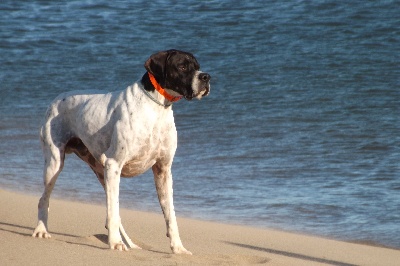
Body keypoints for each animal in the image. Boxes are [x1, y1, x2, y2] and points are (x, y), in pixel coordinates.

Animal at [32, 48, 209, 255]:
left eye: (197, 66)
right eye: (182, 67)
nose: (206, 77)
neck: (156, 108)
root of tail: (56, 99)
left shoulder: (163, 171)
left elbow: (170, 216)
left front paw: (178, 248)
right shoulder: (114, 163)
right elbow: (113, 212)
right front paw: (114, 243)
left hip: (103, 174)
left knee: (114, 213)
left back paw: (130, 244)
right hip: (56, 164)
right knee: (44, 199)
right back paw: (41, 230)